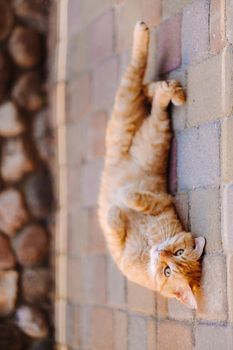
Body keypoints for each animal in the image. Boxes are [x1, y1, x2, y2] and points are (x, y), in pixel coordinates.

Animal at [97, 21, 205, 308]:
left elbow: (116, 218)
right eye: (178, 251)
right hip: (135, 121)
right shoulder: (161, 202)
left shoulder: (121, 246)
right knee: (144, 83)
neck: (150, 246)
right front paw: (125, 202)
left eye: (169, 269)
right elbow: (139, 202)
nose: (161, 252)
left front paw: (119, 206)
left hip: (147, 128)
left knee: (149, 95)